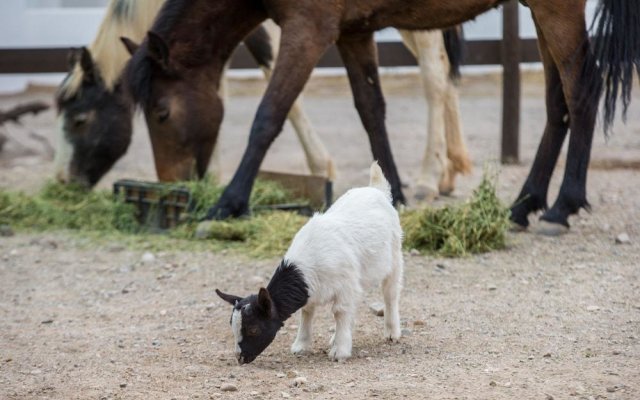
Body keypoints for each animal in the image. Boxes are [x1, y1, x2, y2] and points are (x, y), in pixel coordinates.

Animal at [126, 0, 640, 233]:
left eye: (161, 113)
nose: (171, 183)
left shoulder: (308, 30)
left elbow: (267, 117)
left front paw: (227, 202)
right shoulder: (353, 31)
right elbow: (371, 112)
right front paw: (396, 195)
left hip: (557, 8)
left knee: (581, 93)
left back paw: (561, 205)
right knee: (557, 104)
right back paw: (524, 202)